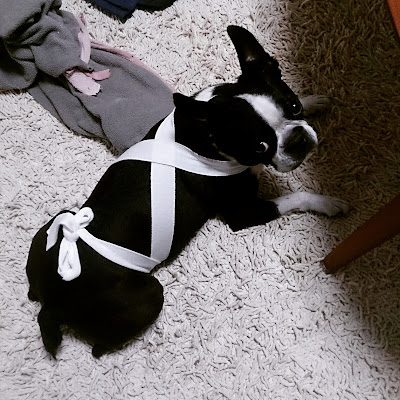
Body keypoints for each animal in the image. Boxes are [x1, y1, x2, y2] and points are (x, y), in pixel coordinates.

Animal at [26, 25, 348, 358]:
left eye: (293, 106)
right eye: (260, 146)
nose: (298, 140)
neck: (210, 133)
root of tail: (53, 300)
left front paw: (315, 100)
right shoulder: (242, 212)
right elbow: (296, 197)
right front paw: (328, 202)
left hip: (55, 222)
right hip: (149, 296)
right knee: (100, 348)